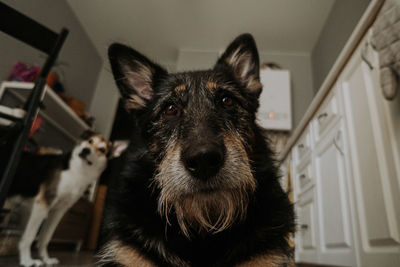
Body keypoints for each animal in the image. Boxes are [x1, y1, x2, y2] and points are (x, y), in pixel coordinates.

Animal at [6, 132, 128, 267]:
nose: (86, 150)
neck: (78, 171)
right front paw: (27, 260)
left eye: (102, 150)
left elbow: (45, 237)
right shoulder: (42, 205)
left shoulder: (58, 211)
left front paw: (46, 259)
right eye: (90, 141)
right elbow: (30, 236)